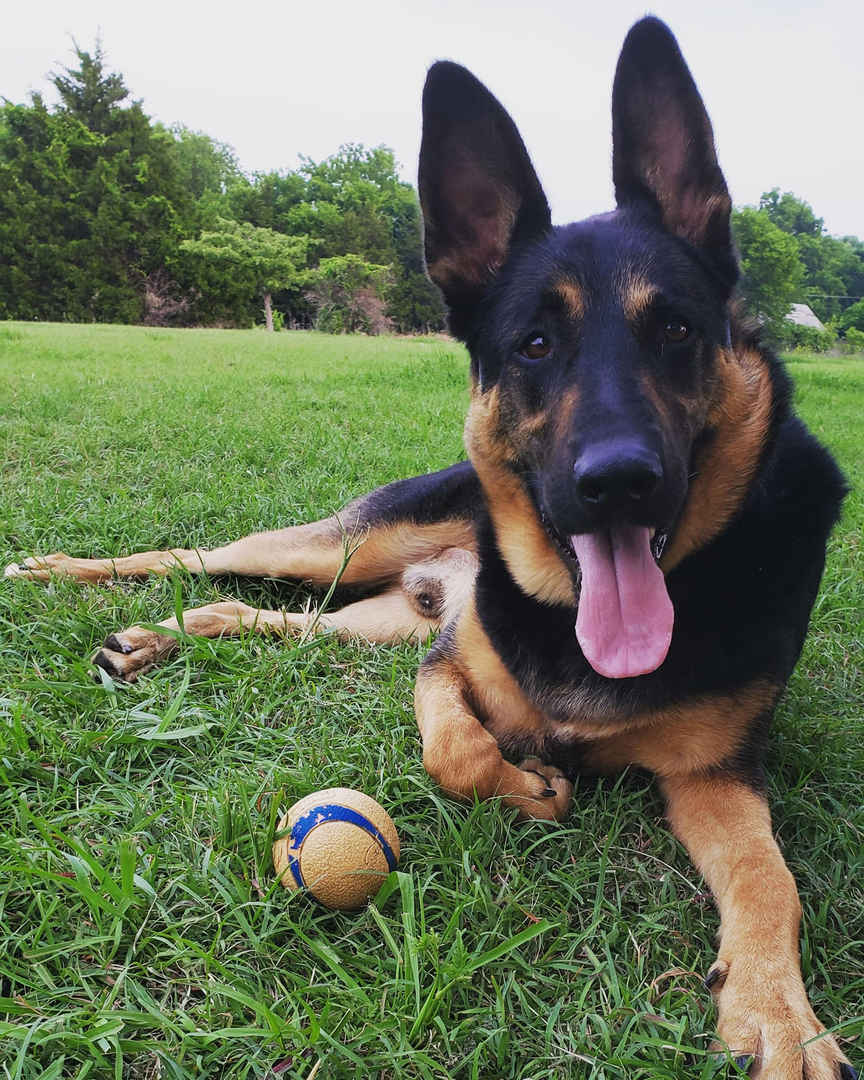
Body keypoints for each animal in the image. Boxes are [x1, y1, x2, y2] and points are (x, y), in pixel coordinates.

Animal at [10, 16, 855, 1080]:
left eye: (674, 328)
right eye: (534, 344)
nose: (618, 479)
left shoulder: (715, 775)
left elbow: (768, 876)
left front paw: (782, 1015)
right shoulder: (447, 668)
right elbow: (454, 749)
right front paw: (528, 786)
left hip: (371, 621)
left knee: (256, 612)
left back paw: (158, 640)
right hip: (338, 549)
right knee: (195, 559)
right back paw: (63, 576)